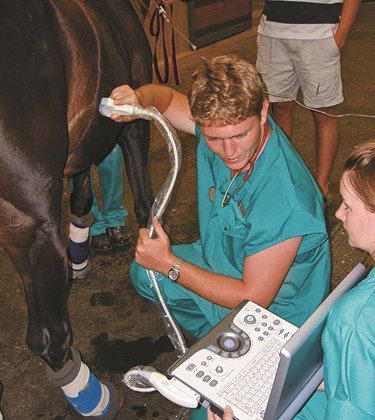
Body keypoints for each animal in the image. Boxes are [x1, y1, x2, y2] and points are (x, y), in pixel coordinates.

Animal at [0, 0, 153, 416]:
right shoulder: (131, 123)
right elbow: (145, 203)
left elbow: (82, 197)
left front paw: (80, 255)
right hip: (30, 219)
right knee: (49, 337)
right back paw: (94, 398)